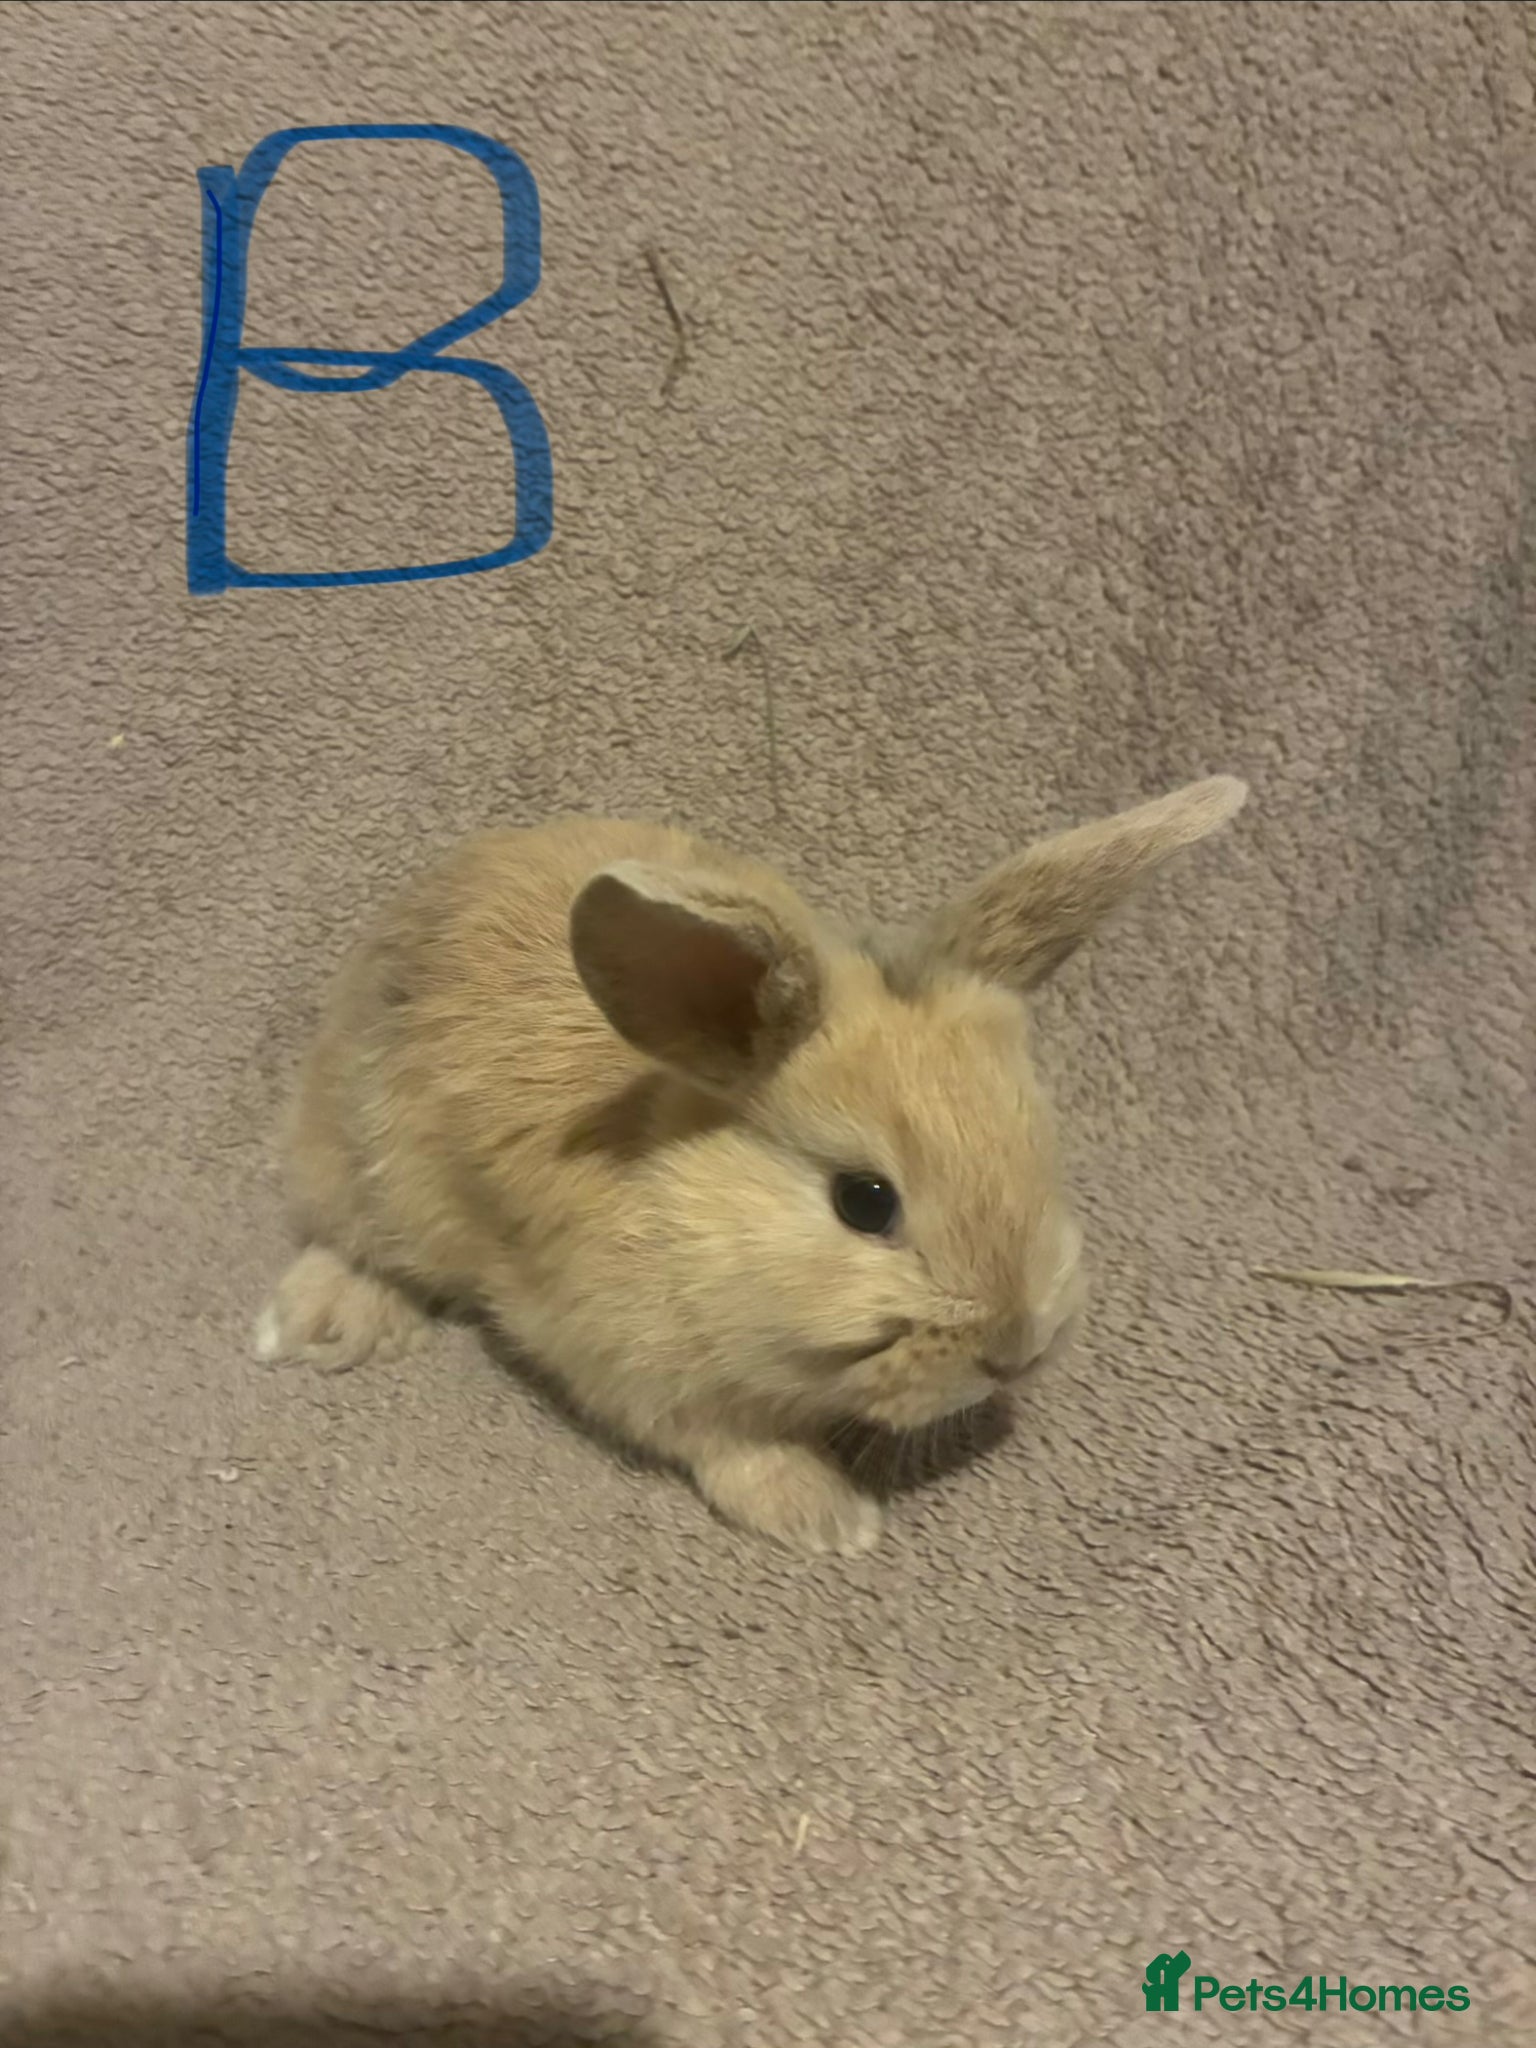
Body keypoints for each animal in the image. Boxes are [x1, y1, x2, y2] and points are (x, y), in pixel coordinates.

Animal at [255, 775, 1247, 1555]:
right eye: (865, 1201)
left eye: (1041, 1143)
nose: (1019, 1350)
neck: (684, 1203)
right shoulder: (640, 1368)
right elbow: (733, 1447)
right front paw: (829, 1518)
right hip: (365, 1165)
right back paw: (318, 1325)